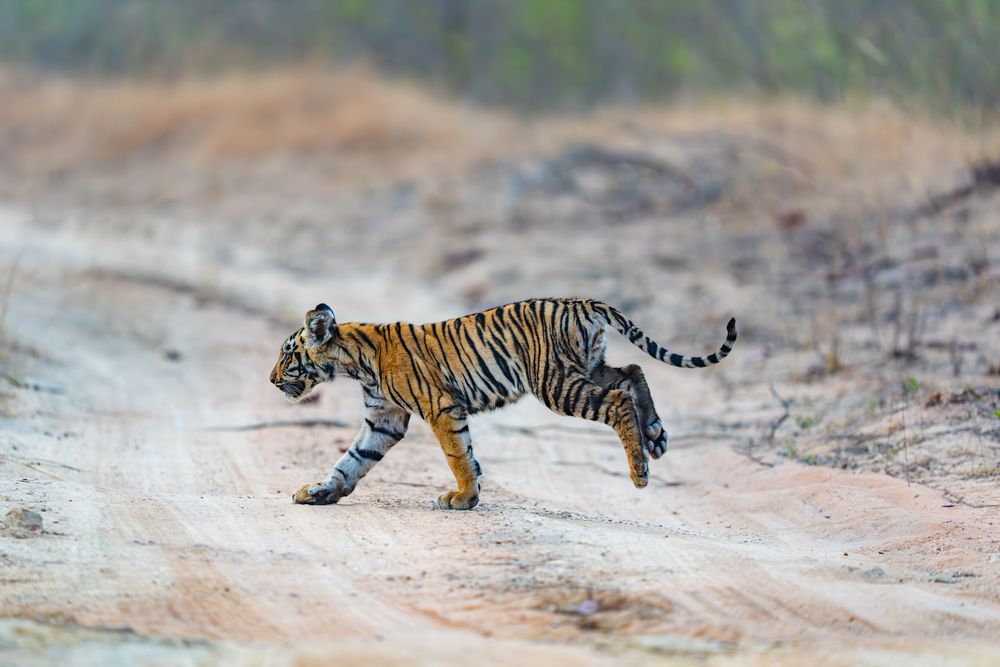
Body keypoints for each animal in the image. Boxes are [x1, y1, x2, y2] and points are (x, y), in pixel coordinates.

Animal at [270, 298, 736, 510]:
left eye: (286, 357)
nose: (271, 380)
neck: (353, 362)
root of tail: (581, 303)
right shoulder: (385, 419)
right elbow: (351, 460)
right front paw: (321, 491)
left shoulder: (441, 408)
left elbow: (457, 455)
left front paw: (463, 497)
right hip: (588, 367)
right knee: (633, 371)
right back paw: (655, 435)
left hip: (557, 384)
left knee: (618, 399)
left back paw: (640, 471)